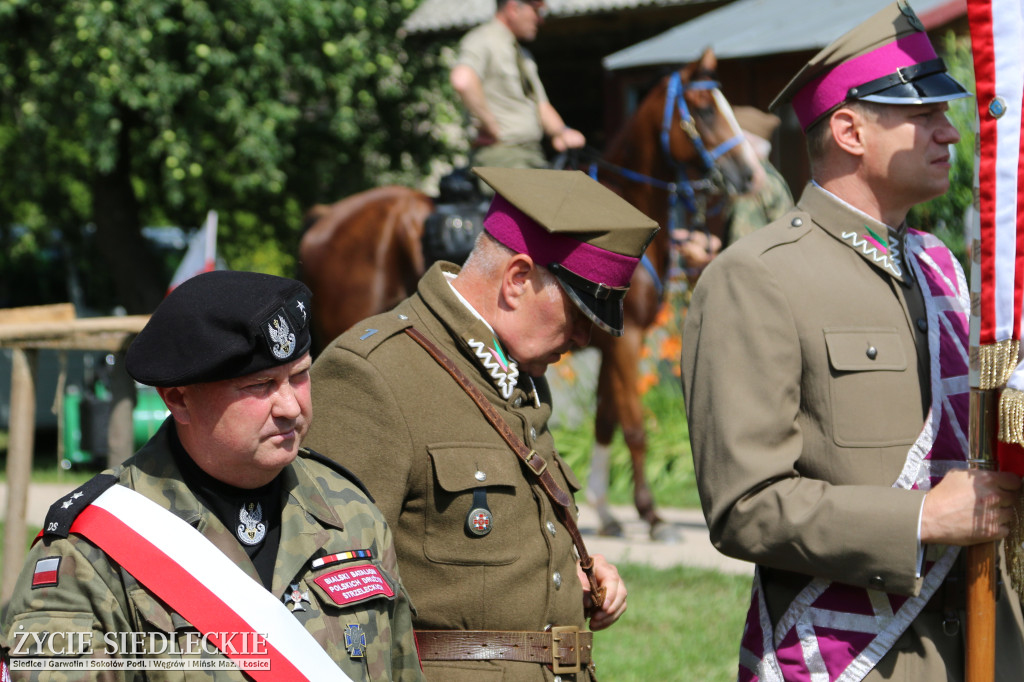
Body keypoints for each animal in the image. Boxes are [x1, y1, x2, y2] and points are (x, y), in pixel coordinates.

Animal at [296, 45, 753, 540]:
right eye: (704, 109)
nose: (747, 174)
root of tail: (326, 217)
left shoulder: (609, 346)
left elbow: (605, 420)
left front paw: (608, 510)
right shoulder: (627, 341)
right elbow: (633, 426)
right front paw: (650, 516)